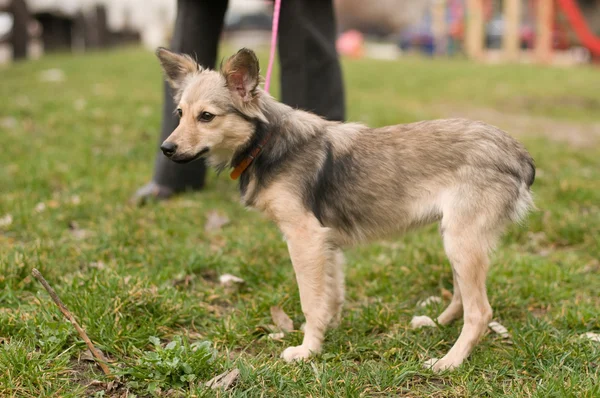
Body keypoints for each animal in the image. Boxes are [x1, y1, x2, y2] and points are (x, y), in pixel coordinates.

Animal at [154, 48, 536, 372]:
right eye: (180, 114)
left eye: (207, 117)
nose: (166, 149)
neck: (266, 141)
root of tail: (517, 153)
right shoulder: (327, 240)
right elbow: (330, 293)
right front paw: (327, 331)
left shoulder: (305, 237)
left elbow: (310, 299)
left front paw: (307, 350)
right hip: (457, 238)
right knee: (461, 295)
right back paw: (436, 323)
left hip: (461, 240)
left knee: (480, 311)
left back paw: (450, 361)